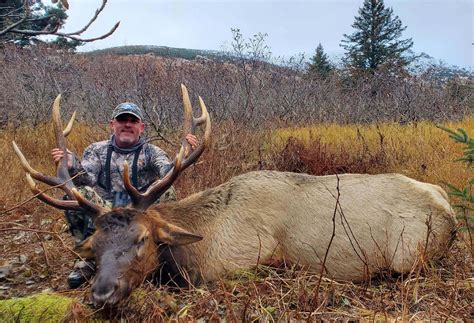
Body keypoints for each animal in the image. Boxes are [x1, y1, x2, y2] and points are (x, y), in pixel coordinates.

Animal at [12, 86, 456, 308]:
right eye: (96, 244)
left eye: (141, 240)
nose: (101, 296)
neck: (198, 245)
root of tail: (448, 209)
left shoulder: (250, 260)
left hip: (410, 256)